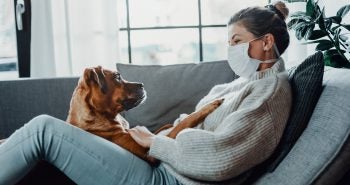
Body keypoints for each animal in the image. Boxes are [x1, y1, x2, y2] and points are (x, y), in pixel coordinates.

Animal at [67, 66, 223, 165]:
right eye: (117, 77)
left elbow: (167, 127)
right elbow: (184, 123)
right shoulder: (149, 151)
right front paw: (209, 106)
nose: (142, 84)